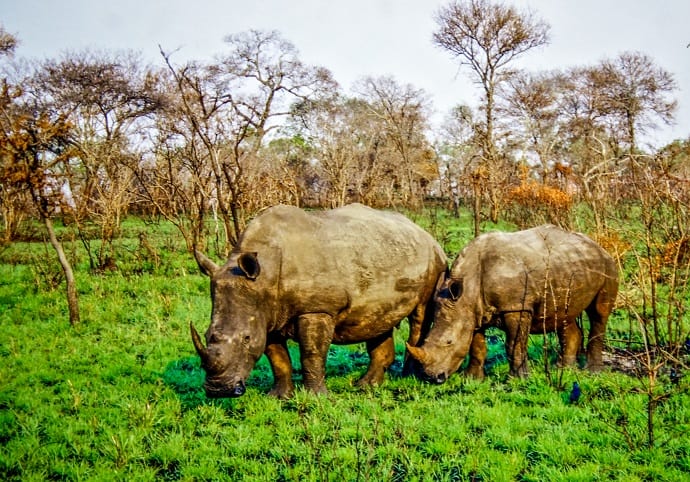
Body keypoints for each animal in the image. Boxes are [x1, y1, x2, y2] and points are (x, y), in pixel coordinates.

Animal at [189, 203, 446, 400]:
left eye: (246, 338)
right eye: (206, 334)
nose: (218, 390)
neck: (265, 275)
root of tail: (424, 233)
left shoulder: (317, 308)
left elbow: (311, 353)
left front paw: (316, 398)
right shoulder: (267, 313)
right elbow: (277, 358)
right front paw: (278, 397)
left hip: (434, 260)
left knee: (420, 315)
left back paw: (409, 376)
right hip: (382, 254)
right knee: (378, 319)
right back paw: (365, 386)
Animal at [406, 223, 616, 384]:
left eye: (449, 342)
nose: (433, 377)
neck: (468, 288)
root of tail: (598, 245)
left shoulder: (516, 307)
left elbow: (513, 345)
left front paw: (517, 381)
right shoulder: (472, 312)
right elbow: (476, 346)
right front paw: (472, 380)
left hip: (607, 265)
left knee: (599, 313)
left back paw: (593, 372)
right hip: (570, 266)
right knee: (565, 315)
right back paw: (563, 368)